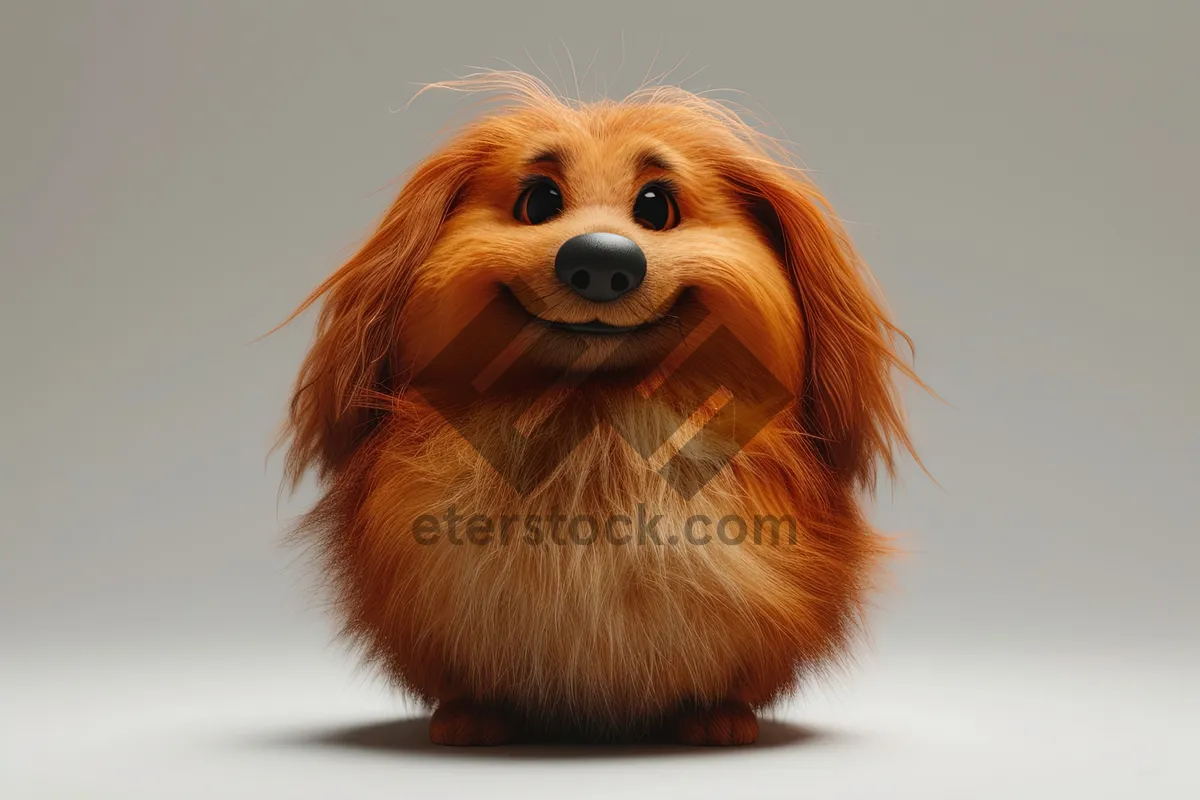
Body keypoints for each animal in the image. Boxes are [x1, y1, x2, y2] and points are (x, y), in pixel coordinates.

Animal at [278, 71, 916, 748]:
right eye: (538, 201)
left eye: (657, 206)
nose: (603, 260)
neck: (594, 423)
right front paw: (472, 715)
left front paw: (718, 715)